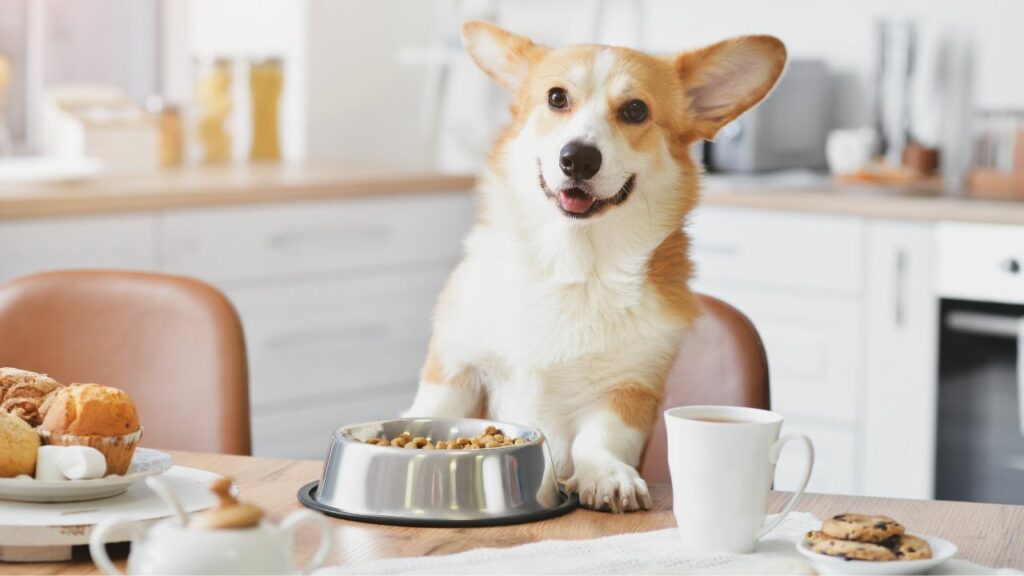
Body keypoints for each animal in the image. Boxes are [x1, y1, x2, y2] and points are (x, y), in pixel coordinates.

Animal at [405, 20, 782, 508]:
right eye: (556, 98)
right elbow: (432, 411)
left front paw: (607, 475)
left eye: (636, 110)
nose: (578, 158)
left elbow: (600, 438)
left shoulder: (630, 390)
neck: (570, 265)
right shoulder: (456, 368)